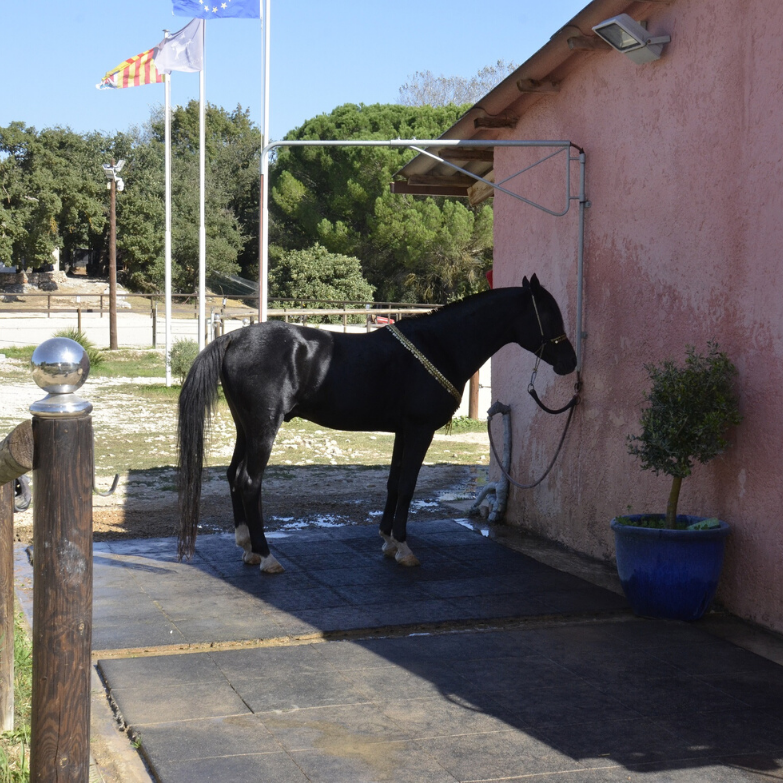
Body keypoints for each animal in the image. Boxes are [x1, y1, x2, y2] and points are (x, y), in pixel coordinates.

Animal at [177, 274, 577, 571]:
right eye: (549, 314)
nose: (570, 362)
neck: (438, 346)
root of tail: (233, 337)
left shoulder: (403, 431)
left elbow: (393, 482)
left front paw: (386, 539)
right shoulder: (419, 430)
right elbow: (408, 485)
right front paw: (403, 547)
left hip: (245, 427)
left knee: (233, 474)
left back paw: (247, 546)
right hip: (264, 427)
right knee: (249, 480)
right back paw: (266, 555)